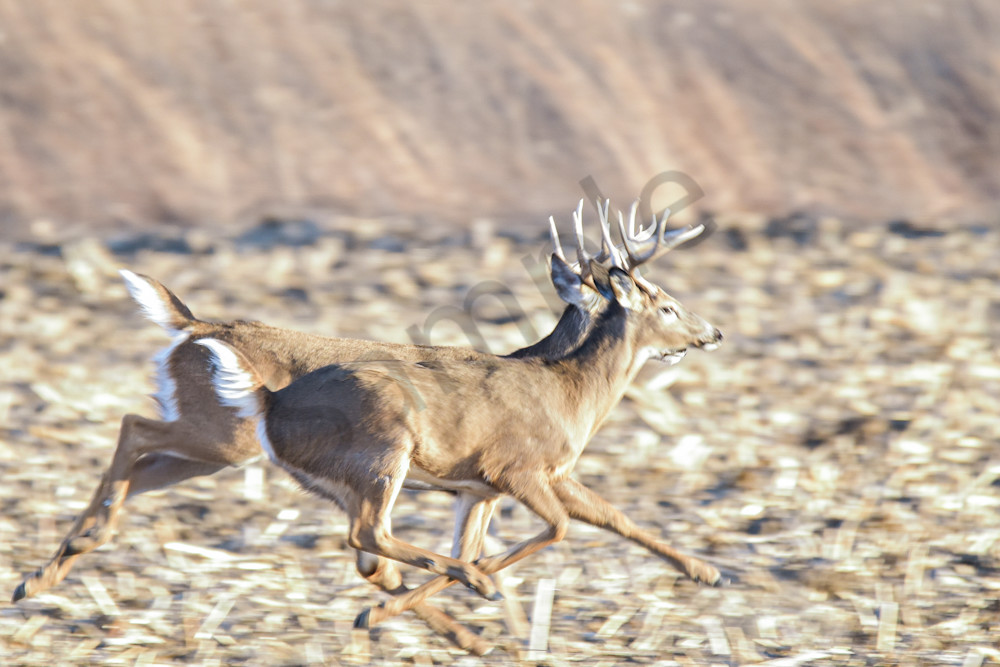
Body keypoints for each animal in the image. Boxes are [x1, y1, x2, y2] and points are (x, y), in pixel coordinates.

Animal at [13, 203, 652, 654]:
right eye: (651, 299)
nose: (690, 331)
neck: (550, 372)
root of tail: (193, 327)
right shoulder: (508, 475)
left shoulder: (485, 485)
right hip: (224, 438)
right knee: (135, 428)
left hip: (219, 453)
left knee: (141, 461)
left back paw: (43, 573)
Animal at [196, 200, 723, 643]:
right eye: (667, 306)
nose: (714, 332)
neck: (572, 392)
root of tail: (270, 404)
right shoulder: (513, 468)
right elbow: (557, 528)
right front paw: (484, 579)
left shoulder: (496, 485)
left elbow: (612, 515)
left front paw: (707, 572)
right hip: (381, 454)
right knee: (369, 534)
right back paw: (456, 594)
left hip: (343, 479)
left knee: (370, 553)